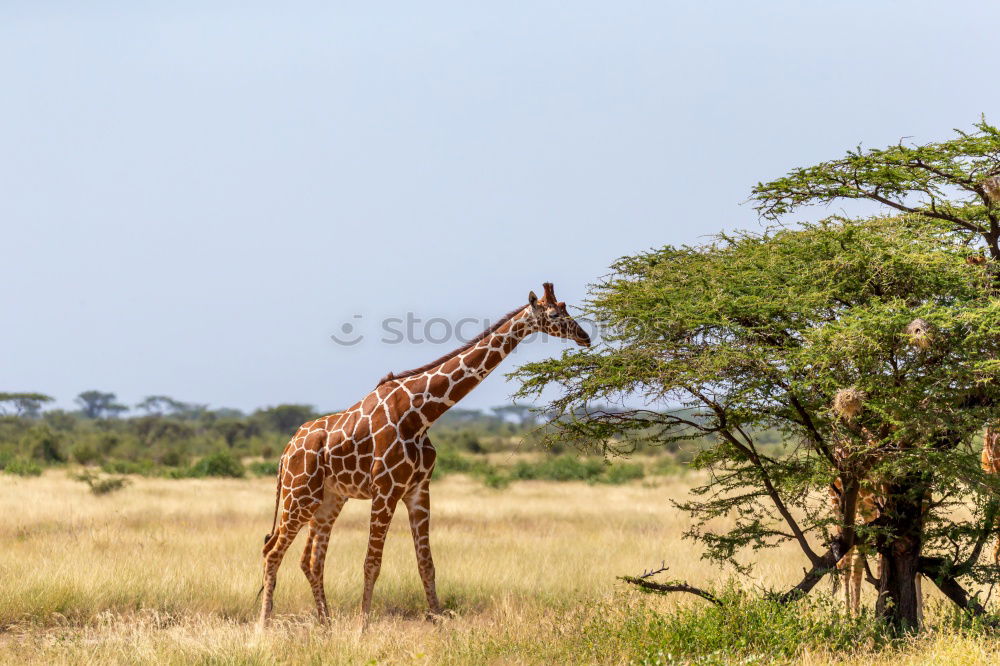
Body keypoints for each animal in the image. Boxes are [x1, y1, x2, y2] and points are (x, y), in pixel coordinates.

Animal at [258, 282, 588, 624]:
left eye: (566, 307)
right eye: (554, 314)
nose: (584, 336)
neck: (420, 414)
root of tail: (286, 450)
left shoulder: (418, 489)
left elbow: (426, 564)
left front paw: (438, 622)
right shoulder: (385, 489)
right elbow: (371, 563)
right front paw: (363, 628)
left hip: (329, 499)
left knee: (310, 559)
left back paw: (326, 625)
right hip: (299, 495)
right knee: (272, 550)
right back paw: (264, 625)